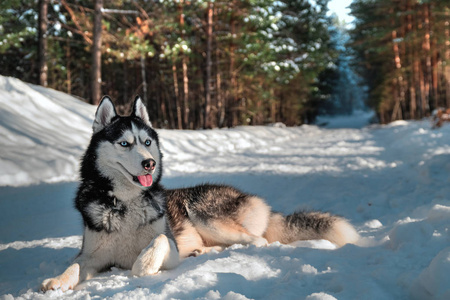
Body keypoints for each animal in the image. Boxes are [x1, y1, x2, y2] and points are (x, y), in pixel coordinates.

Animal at [41, 97, 358, 292]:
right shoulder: (92, 255)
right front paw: (56, 280)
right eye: (124, 143)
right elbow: (74, 265)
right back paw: (201, 251)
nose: (149, 163)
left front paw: (143, 264)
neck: (127, 203)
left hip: (204, 214)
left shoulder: (169, 247)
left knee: (257, 241)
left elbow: (158, 242)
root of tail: (253, 199)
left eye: (146, 142)